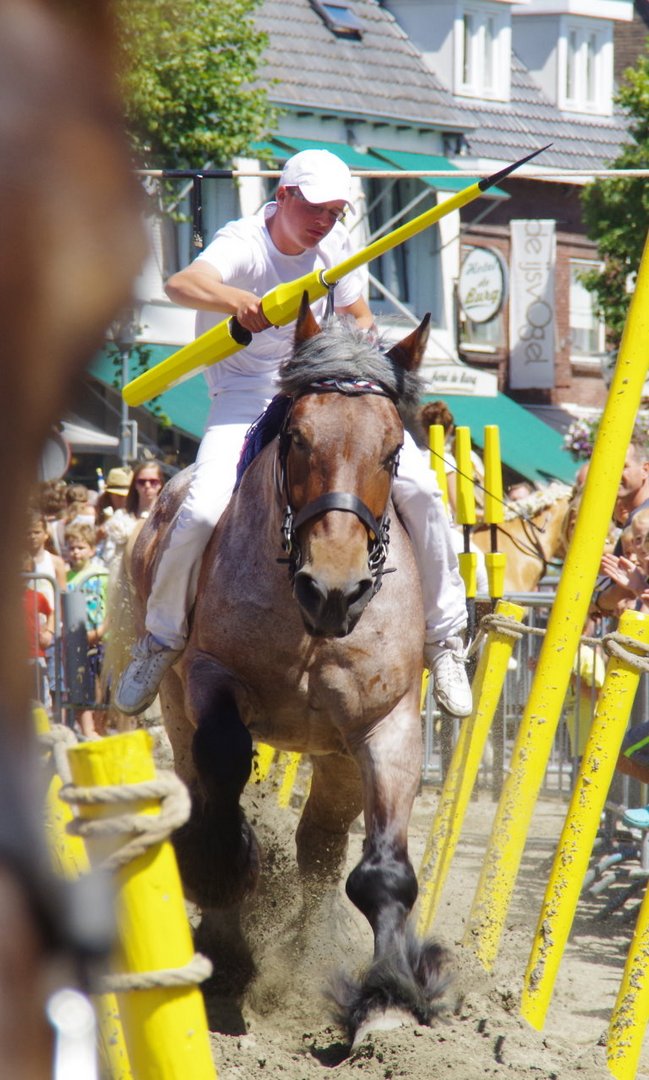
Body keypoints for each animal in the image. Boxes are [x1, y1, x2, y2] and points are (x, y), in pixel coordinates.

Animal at [125, 300, 451, 1041]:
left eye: (392, 450)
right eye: (298, 438)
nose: (335, 589)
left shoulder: (386, 723)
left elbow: (384, 868)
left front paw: (388, 994)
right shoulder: (210, 680)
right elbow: (220, 781)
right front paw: (225, 885)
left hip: (334, 759)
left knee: (320, 846)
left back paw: (310, 946)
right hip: (176, 708)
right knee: (205, 785)